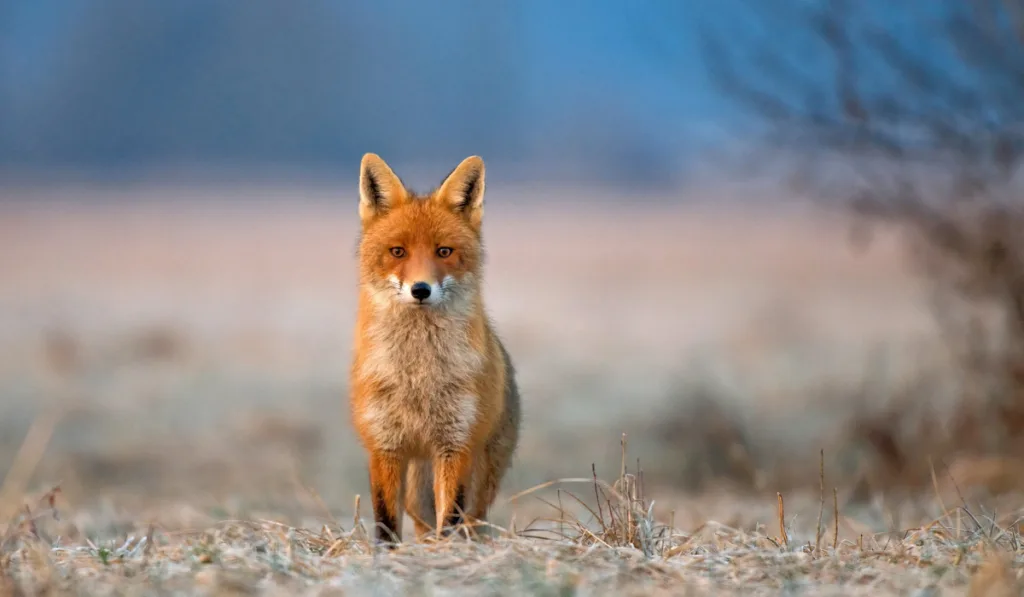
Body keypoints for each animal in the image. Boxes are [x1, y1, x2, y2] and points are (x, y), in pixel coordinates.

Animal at [350, 154, 520, 544]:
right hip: (417, 491)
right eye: (397, 252)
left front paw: (447, 555)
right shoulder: (384, 445)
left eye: (444, 251)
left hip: (481, 477)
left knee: (471, 521)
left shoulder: (456, 444)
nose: (421, 289)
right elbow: (385, 519)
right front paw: (387, 554)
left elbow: (451, 517)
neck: (418, 377)